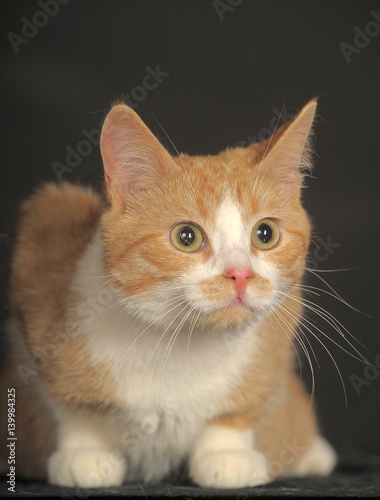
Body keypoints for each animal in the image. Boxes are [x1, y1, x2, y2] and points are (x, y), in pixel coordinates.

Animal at [0, 98, 338, 488]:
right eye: (186, 237)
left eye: (265, 233)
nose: (240, 274)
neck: (179, 343)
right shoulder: (42, 246)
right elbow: (72, 408)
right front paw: (84, 453)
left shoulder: (280, 327)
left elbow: (241, 407)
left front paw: (226, 453)